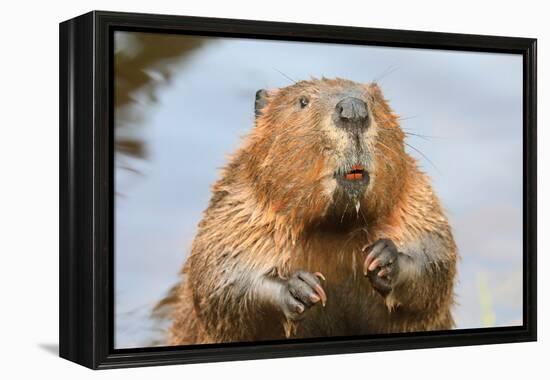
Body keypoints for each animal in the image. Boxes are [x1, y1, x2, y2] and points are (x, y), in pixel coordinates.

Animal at [166, 77, 460, 344]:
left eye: (374, 100)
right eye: (303, 101)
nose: (353, 109)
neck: (334, 228)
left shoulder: (415, 199)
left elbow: (437, 254)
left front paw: (383, 259)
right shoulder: (238, 207)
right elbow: (219, 278)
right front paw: (300, 287)